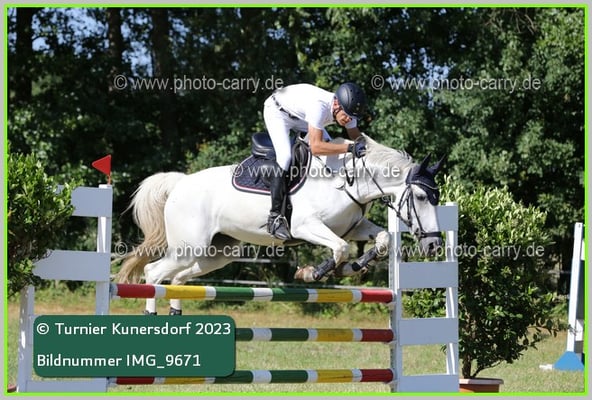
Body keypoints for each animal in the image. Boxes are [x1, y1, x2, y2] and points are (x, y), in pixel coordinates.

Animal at [116, 134, 446, 315]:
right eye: (420, 197)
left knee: (178, 278)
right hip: (189, 247)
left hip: (218, 253)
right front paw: (313, 272)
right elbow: (340, 248)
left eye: (437, 197)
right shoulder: (306, 226)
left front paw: (354, 267)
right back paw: (152, 318)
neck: (345, 180)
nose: (433, 245)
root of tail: (180, 183)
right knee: (153, 272)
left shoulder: (353, 226)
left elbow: (383, 238)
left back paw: (176, 316)